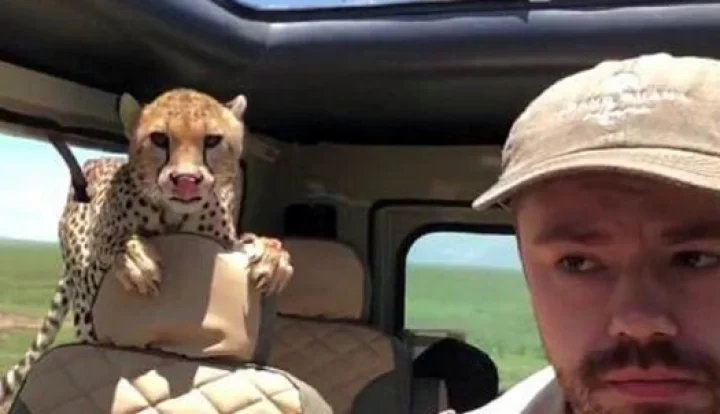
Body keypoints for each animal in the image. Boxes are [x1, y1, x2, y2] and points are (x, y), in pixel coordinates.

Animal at [0, 88, 293, 404]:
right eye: (160, 139)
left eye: (212, 140)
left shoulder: (225, 241)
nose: (186, 181)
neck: (174, 215)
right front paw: (134, 259)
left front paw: (273, 258)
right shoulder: (93, 278)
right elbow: (111, 242)